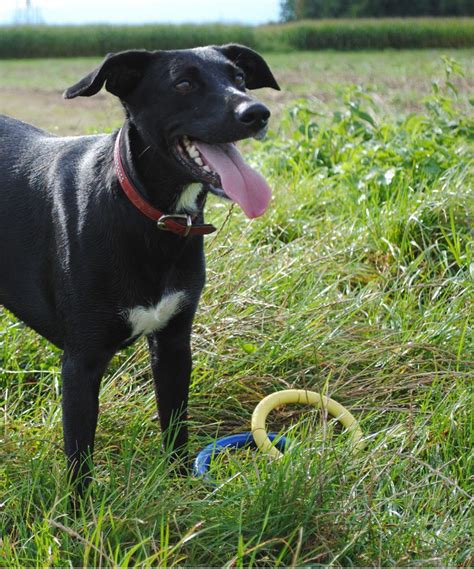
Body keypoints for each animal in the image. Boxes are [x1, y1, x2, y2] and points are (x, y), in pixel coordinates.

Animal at [0, 44, 280, 490]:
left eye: (238, 78)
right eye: (183, 84)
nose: (256, 112)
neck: (153, 215)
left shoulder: (173, 343)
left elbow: (175, 424)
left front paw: (183, 486)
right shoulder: (81, 362)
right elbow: (79, 459)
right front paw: (79, 508)